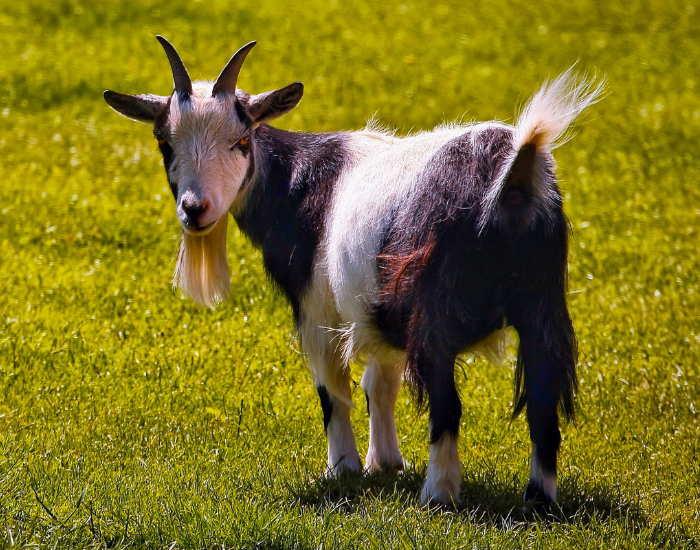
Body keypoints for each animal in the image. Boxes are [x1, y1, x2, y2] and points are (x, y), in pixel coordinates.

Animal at [104, 36, 603, 507]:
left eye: (241, 141)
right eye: (165, 142)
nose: (195, 209)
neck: (298, 183)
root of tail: (513, 176)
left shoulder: (316, 308)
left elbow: (333, 389)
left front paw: (342, 469)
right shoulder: (376, 306)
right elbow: (379, 383)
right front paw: (385, 463)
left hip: (436, 313)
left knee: (447, 405)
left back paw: (438, 494)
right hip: (542, 304)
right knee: (543, 401)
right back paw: (538, 499)